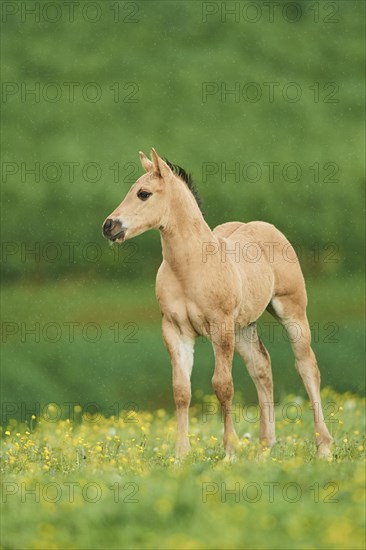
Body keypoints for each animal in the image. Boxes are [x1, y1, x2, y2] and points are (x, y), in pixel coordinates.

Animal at [101, 149, 334, 460]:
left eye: (143, 193)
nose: (109, 226)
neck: (190, 268)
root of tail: (264, 226)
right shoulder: (175, 330)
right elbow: (181, 390)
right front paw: (181, 455)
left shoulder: (220, 327)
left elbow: (223, 386)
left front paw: (230, 452)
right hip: (244, 326)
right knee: (262, 367)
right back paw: (264, 448)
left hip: (292, 312)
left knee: (307, 366)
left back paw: (323, 447)